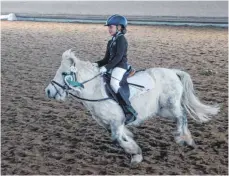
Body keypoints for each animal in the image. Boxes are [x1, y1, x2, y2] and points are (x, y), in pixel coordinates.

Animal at [45, 49, 220, 165]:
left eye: (64, 74)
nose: (48, 91)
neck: (95, 89)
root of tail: (173, 72)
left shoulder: (116, 121)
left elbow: (117, 139)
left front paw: (134, 152)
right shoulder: (110, 123)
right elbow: (120, 137)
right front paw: (135, 152)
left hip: (171, 105)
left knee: (182, 116)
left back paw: (185, 139)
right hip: (163, 110)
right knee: (180, 116)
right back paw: (186, 139)